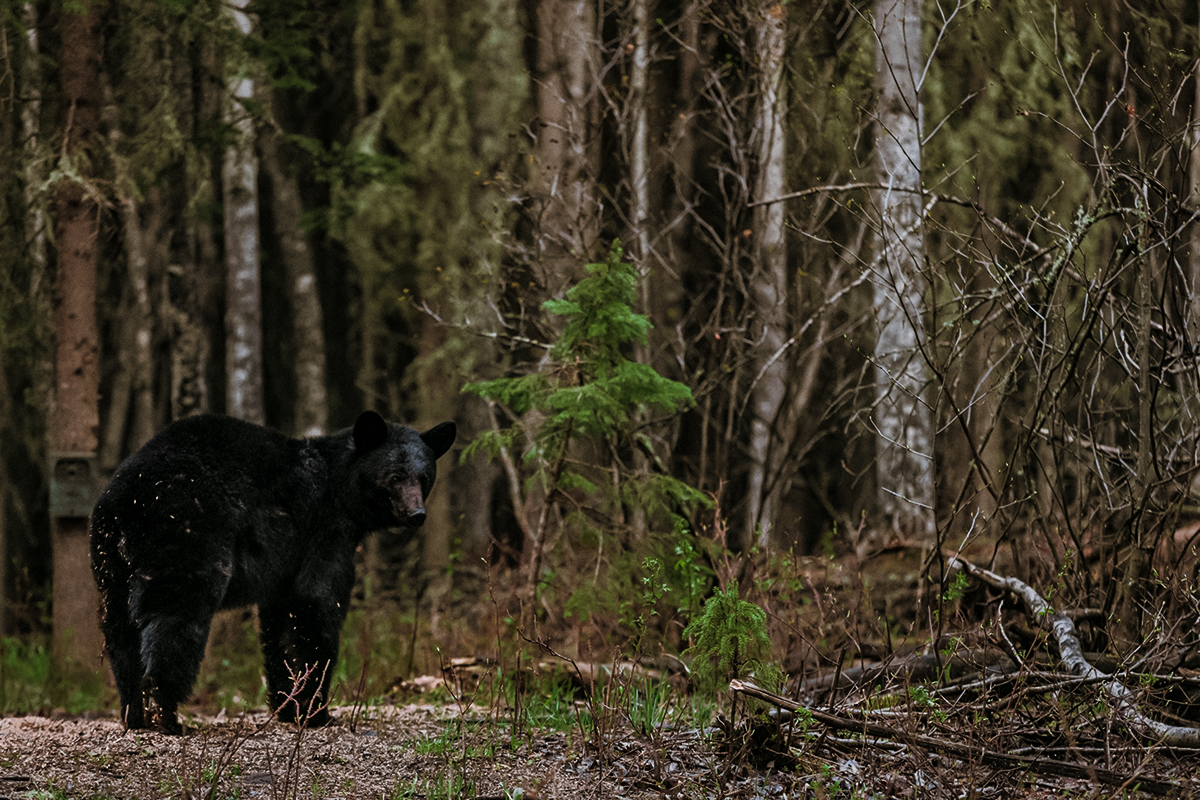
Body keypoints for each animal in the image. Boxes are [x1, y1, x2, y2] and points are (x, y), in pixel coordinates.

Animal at [87, 412, 453, 734]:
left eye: (424, 477)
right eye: (395, 476)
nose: (416, 514)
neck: (340, 489)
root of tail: (126, 500)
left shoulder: (284, 565)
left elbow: (280, 620)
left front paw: (287, 705)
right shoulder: (323, 532)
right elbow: (316, 604)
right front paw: (316, 711)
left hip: (110, 560)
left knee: (119, 630)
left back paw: (133, 712)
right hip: (186, 533)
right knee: (175, 618)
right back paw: (166, 714)